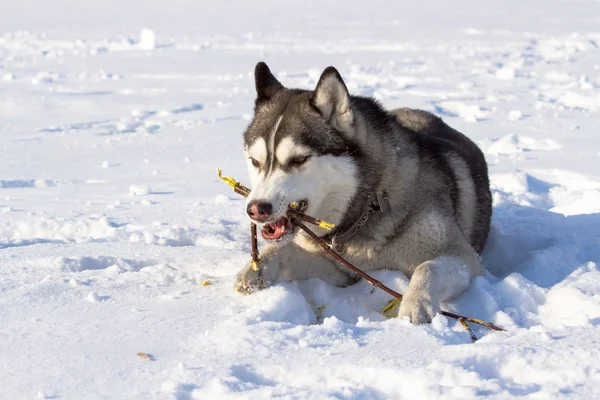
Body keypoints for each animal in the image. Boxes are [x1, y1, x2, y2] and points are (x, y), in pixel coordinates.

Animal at [234, 62, 492, 324]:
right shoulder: (341, 269)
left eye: (298, 159)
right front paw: (255, 268)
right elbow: (282, 249)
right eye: (255, 161)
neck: (370, 203)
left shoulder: (463, 257)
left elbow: (428, 267)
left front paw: (416, 305)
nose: (256, 209)